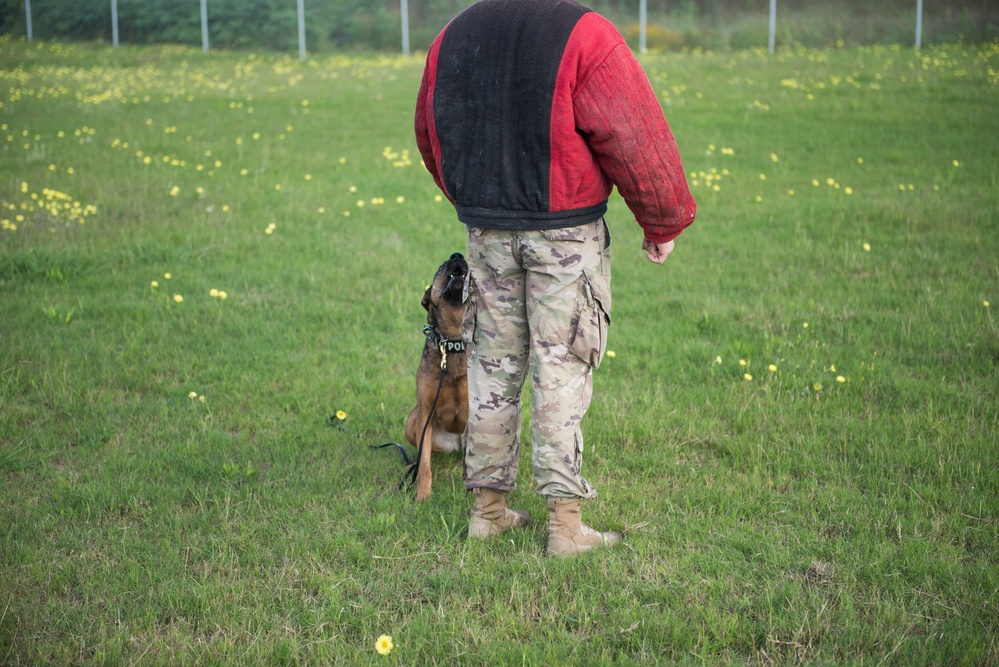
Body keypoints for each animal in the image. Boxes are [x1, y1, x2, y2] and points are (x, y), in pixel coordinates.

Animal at [404, 253, 470, 504]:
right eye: (442, 266)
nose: (457, 256)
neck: (453, 342)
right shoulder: (425, 410)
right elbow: (424, 464)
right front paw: (422, 496)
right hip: (412, 420)